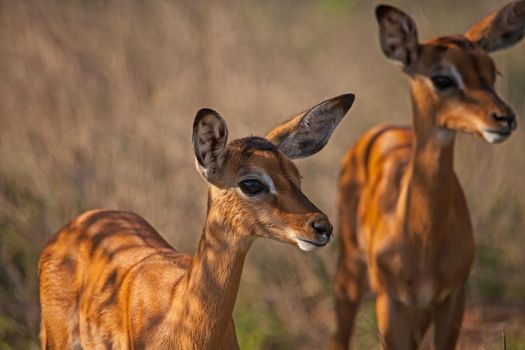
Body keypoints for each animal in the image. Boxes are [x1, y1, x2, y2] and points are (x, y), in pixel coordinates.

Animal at [334, 2, 520, 350]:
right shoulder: (391, 302)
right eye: (442, 78)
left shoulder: (452, 299)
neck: (423, 242)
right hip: (349, 267)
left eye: (492, 71)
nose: (504, 118)